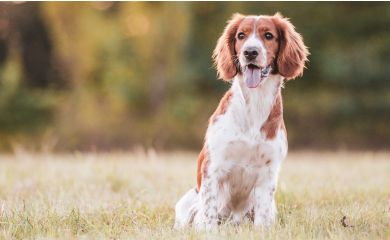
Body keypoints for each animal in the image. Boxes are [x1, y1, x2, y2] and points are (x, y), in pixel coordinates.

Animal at [174, 12, 308, 230]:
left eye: (268, 35)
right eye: (241, 35)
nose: (250, 52)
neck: (254, 104)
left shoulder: (268, 171)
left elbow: (262, 215)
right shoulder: (213, 166)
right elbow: (208, 212)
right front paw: (209, 231)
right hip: (187, 201)